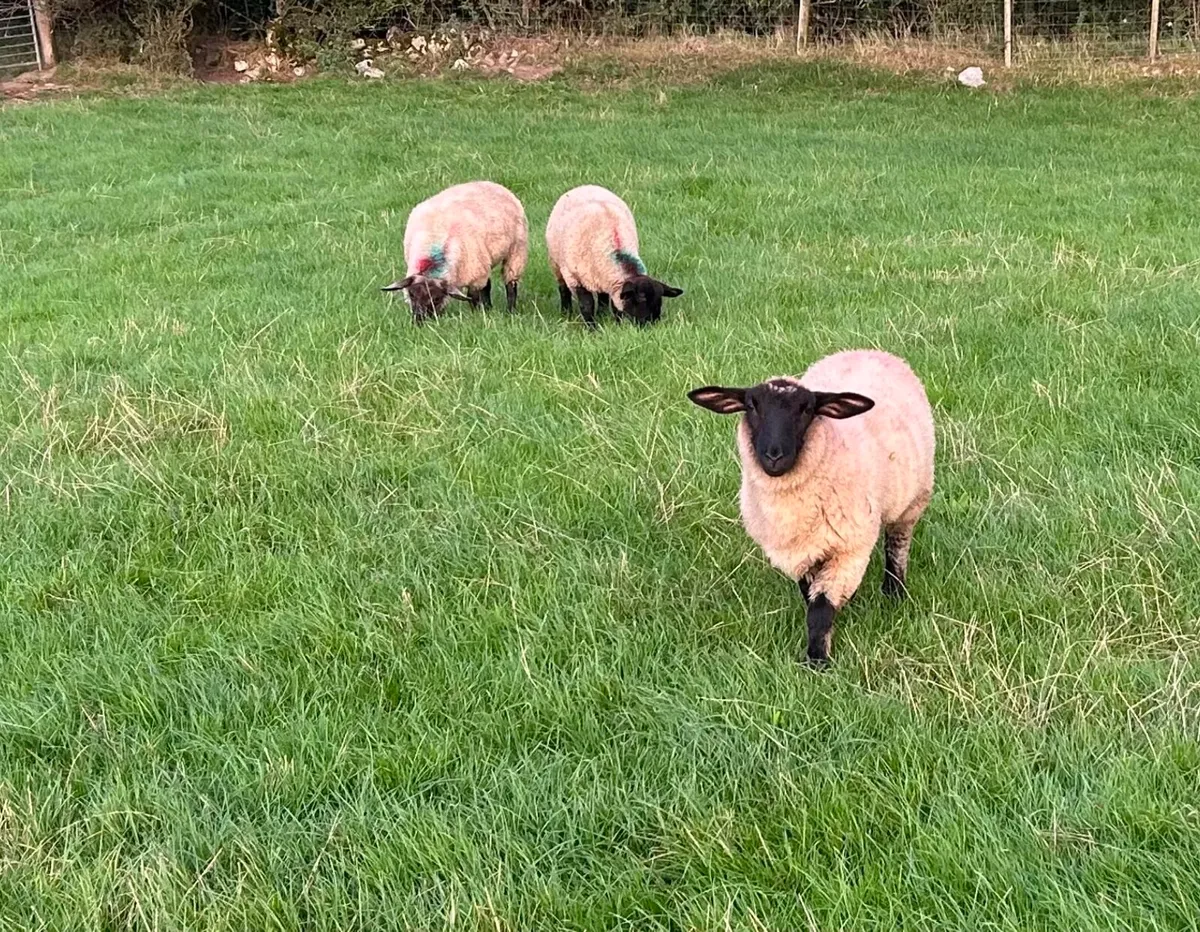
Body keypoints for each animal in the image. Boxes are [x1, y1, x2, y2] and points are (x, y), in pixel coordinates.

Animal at [382, 181, 528, 324]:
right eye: (411, 294)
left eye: (436, 298)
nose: (419, 320)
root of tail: (492, 183)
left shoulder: (475, 274)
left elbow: (474, 297)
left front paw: (479, 315)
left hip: (516, 250)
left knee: (510, 284)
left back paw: (510, 311)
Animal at [545, 185, 683, 330]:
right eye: (640, 300)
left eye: (659, 301)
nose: (648, 326)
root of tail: (584, 186)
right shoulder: (574, 277)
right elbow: (586, 305)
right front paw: (592, 329)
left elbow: (611, 303)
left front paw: (613, 322)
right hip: (555, 263)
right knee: (563, 289)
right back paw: (566, 313)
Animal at [688, 349, 935, 665]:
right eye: (751, 406)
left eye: (806, 410)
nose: (774, 456)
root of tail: (868, 350)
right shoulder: (800, 552)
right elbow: (811, 597)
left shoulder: (850, 548)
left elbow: (820, 609)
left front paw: (817, 661)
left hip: (912, 500)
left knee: (897, 546)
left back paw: (894, 592)